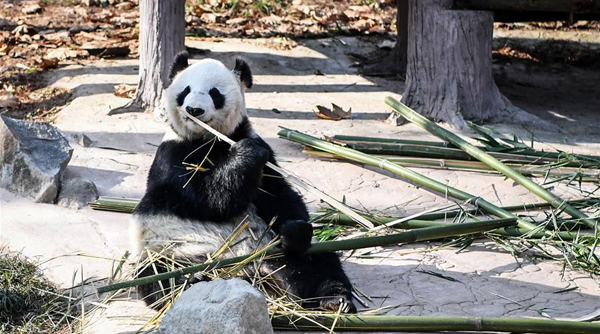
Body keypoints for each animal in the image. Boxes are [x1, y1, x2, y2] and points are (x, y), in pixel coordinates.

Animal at [131, 51, 356, 314]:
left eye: (214, 93)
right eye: (185, 90)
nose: (194, 109)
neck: (209, 139)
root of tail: (250, 271)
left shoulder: (258, 147)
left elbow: (279, 196)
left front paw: (293, 229)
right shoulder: (173, 155)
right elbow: (206, 199)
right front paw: (246, 155)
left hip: (273, 250)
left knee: (321, 262)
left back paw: (334, 299)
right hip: (170, 250)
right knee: (158, 276)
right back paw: (193, 281)